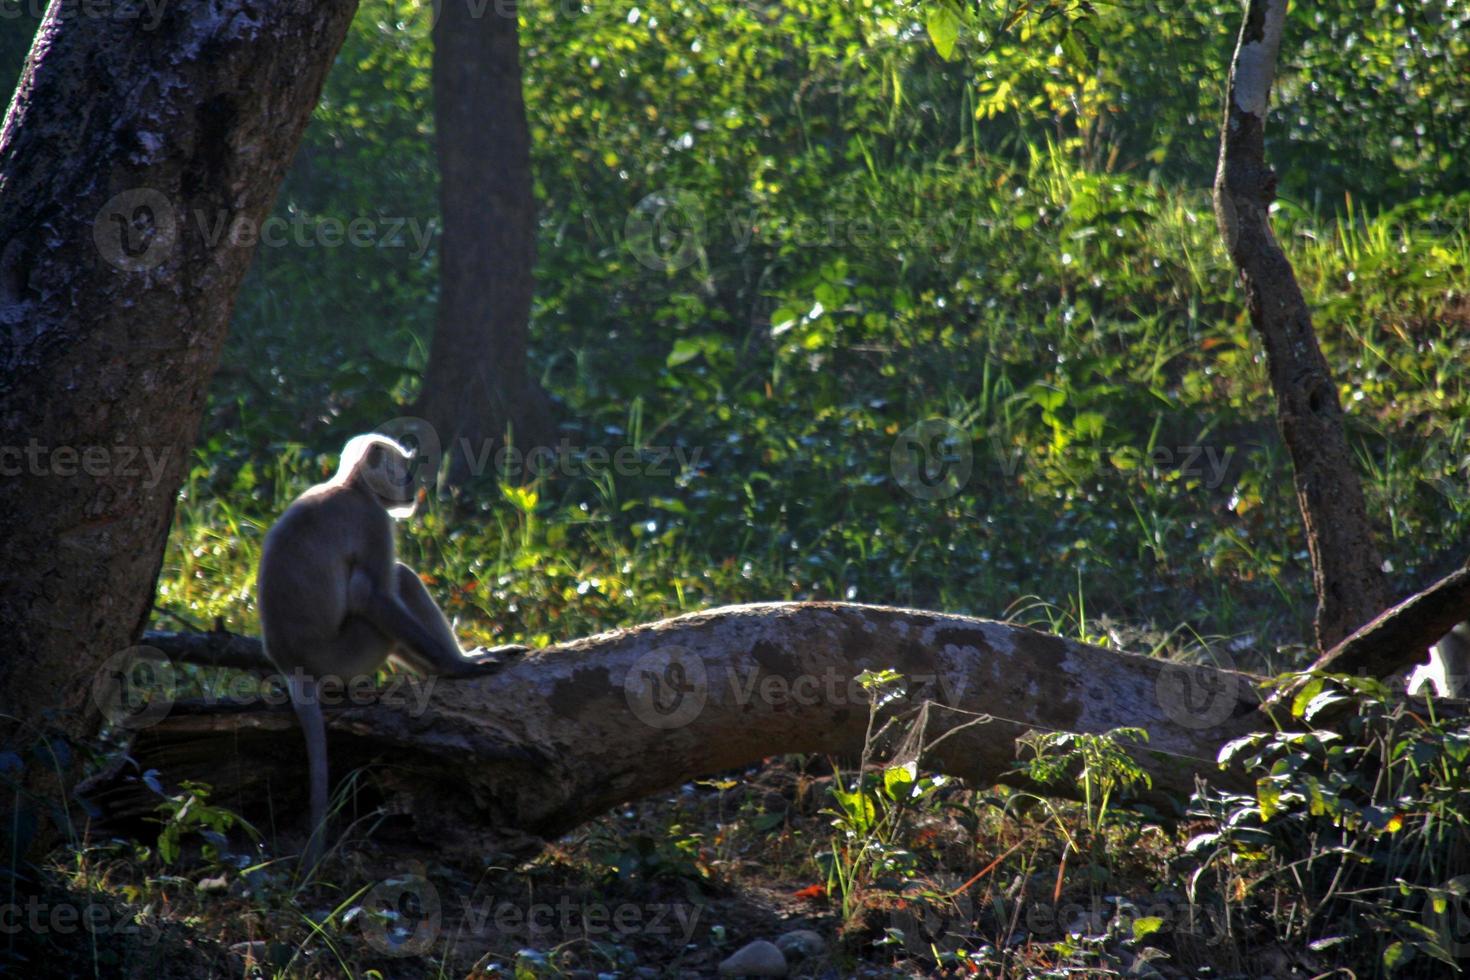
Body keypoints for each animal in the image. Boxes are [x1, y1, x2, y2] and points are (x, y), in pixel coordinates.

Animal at [260, 431, 523, 863]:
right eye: (402, 469)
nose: (412, 487)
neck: (350, 486)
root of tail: (291, 665)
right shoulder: (373, 521)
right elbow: (371, 595)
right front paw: (460, 668)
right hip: (349, 654)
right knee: (400, 580)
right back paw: (452, 666)